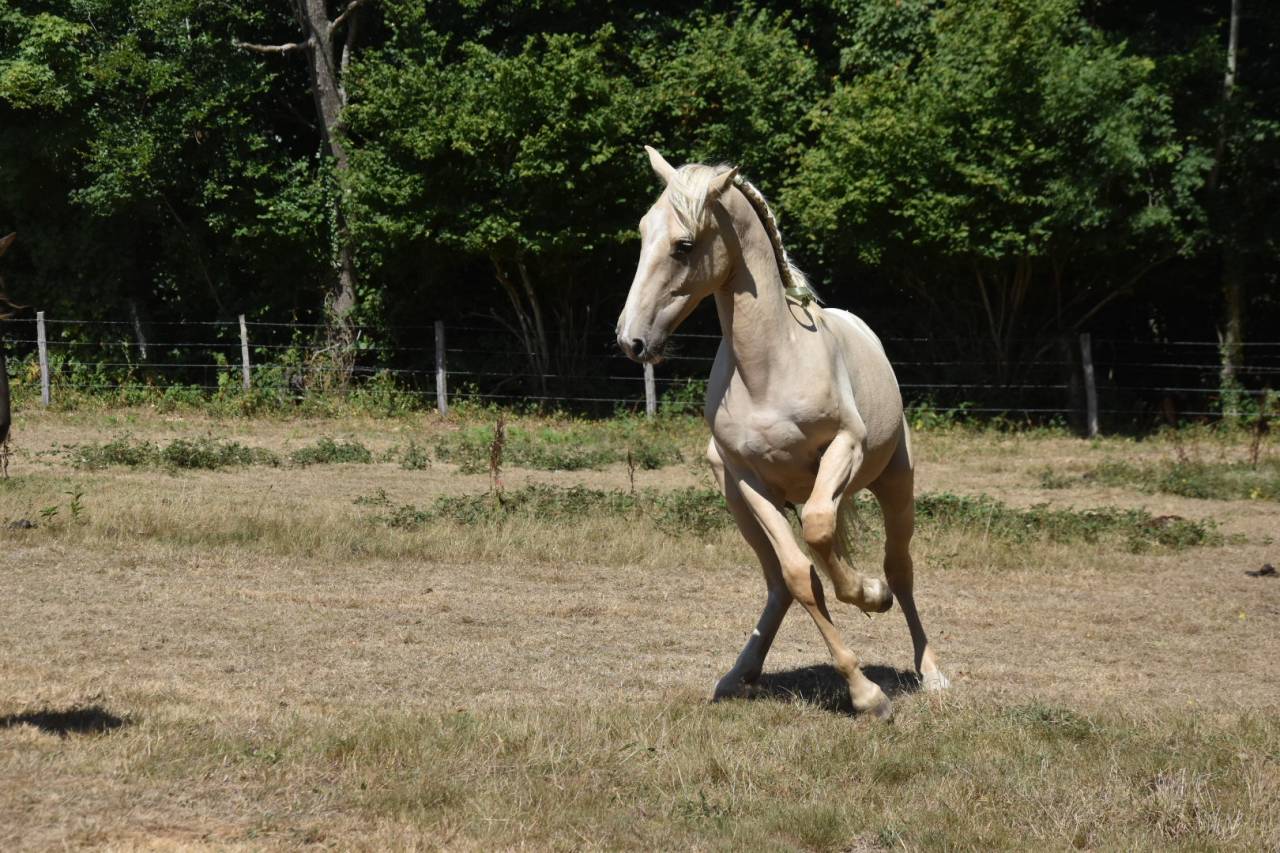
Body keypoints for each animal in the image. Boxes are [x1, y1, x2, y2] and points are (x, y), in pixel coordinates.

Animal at [616, 148, 948, 720]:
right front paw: (865, 693)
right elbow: (801, 574)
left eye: (684, 245)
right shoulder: (749, 480)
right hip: (735, 498)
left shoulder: (844, 448)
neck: (771, 366)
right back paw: (738, 675)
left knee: (900, 567)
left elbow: (819, 529)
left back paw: (931, 671)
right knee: (779, 582)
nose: (631, 340)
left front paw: (869, 595)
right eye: (642, 231)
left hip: (895, 482)